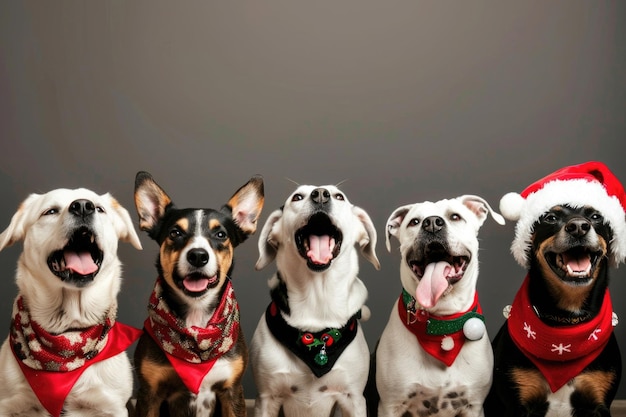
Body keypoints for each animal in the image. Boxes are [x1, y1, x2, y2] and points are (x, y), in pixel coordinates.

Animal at [250, 184, 380, 414]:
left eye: (339, 196)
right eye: (297, 197)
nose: (320, 195)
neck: (317, 300)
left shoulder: (354, 398)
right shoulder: (266, 398)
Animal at [366, 195, 502, 416]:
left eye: (455, 217)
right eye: (414, 221)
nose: (431, 223)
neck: (442, 325)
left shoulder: (473, 406)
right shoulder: (390, 405)